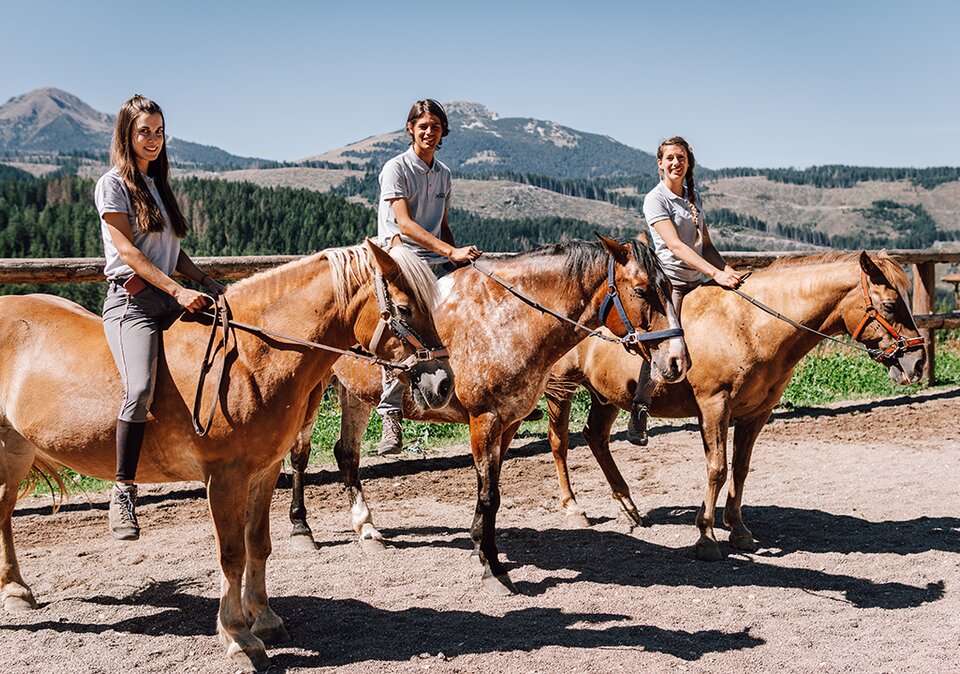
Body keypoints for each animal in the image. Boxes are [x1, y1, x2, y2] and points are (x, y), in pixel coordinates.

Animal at [0, 239, 454, 668]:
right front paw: (239, 637)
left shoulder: (264, 470)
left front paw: (265, 619)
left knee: (4, 512)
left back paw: (17, 591)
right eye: (404, 308)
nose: (443, 383)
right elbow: (232, 554)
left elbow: (258, 544)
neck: (251, 358)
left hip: (17, 448)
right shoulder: (225, 477)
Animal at [286, 235, 688, 592]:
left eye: (669, 287)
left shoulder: (509, 422)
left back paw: (367, 529)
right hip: (310, 393)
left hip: (355, 394)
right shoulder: (484, 419)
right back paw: (301, 528)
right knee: (300, 455)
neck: (506, 319)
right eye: (641, 291)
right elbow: (489, 495)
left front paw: (482, 547)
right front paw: (493, 569)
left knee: (347, 454)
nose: (677, 361)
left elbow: (490, 490)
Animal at [544, 249, 928, 560]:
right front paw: (706, 537)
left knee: (595, 437)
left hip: (605, 395)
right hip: (560, 388)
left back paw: (629, 507)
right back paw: (574, 508)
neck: (750, 326)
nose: (918, 363)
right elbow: (717, 468)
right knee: (559, 442)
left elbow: (741, 469)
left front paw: (738, 530)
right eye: (890, 305)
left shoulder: (756, 413)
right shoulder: (714, 406)